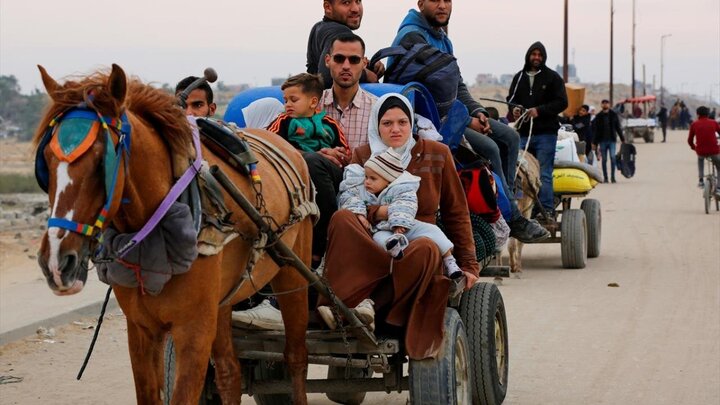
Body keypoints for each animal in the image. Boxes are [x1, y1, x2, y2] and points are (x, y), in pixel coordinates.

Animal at [33, 64, 312, 402]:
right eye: (47, 160)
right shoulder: (142, 329)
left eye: (102, 162)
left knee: (296, 357)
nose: (57, 262)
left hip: (294, 275)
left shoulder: (192, 330)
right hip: (223, 302)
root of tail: (286, 145)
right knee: (229, 372)